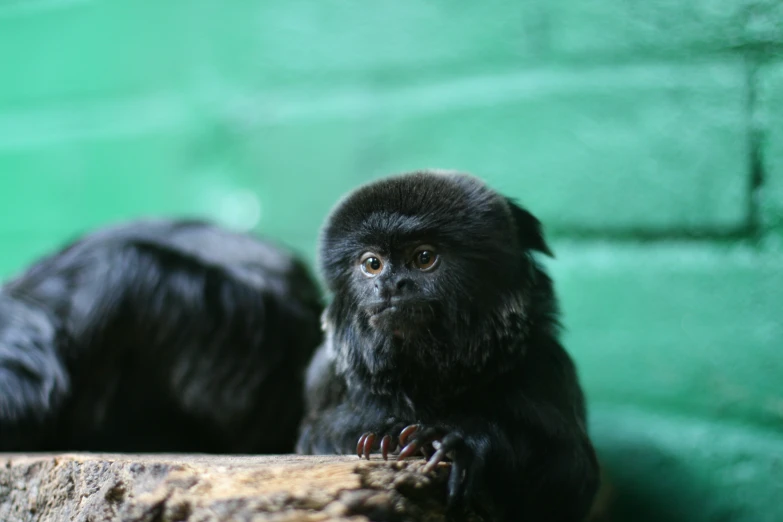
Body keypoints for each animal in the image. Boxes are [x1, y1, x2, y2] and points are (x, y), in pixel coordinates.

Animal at [296, 172, 600, 520]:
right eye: (372, 264)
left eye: (424, 258)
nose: (389, 285)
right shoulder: (325, 373)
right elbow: (314, 438)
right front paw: (382, 432)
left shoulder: (546, 365)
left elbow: (572, 478)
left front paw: (457, 440)